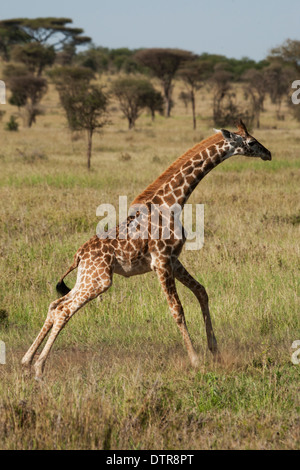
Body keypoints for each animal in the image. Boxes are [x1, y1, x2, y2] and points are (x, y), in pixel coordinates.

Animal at [20, 119, 270, 380]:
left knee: (54, 305)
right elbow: (177, 309)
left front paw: (215, 352)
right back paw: (39, 367)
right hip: (100, 281)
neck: (173, 202)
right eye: (252, 142)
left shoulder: (173, 259)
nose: (268, 154)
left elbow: (201, 291)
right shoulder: (161, 260)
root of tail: (78, 256)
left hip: (87, 278)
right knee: (64, 309)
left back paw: (27, 361)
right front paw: (195, 360)